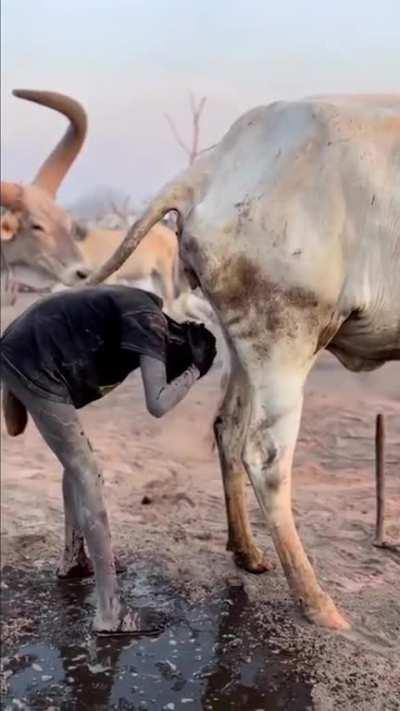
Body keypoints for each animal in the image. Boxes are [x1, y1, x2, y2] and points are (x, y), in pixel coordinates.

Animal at [85, 95, 400, 631]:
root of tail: (213, 165)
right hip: (285, 335)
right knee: (265, 456)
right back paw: (316, 602)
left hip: (241, 341)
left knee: (226, 428)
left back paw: (247, 551)